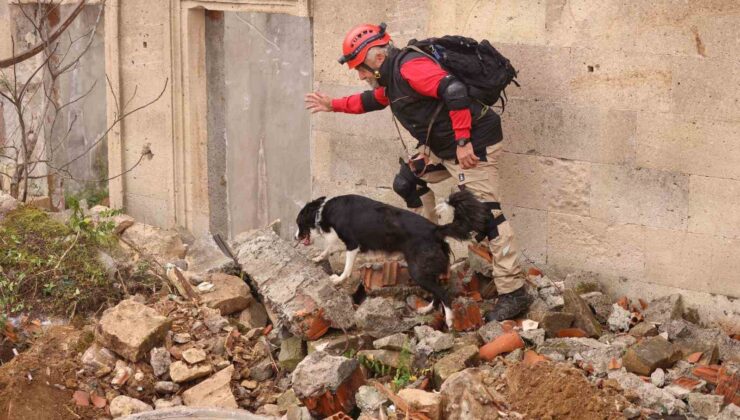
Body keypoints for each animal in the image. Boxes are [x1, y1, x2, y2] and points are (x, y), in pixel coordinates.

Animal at [292, 191, 488, 328]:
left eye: (298, 222)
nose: (295, 237)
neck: (323, 209)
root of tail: (436, 229)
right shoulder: (347, 244)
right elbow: (328, 249)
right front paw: (318, 257)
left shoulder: (352, 244)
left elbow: (346, 267)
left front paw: (338, 279)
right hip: (426, 270)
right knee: (437, 291)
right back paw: (426, 309)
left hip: (417, 271)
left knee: (443, 293)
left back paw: (449, 320)